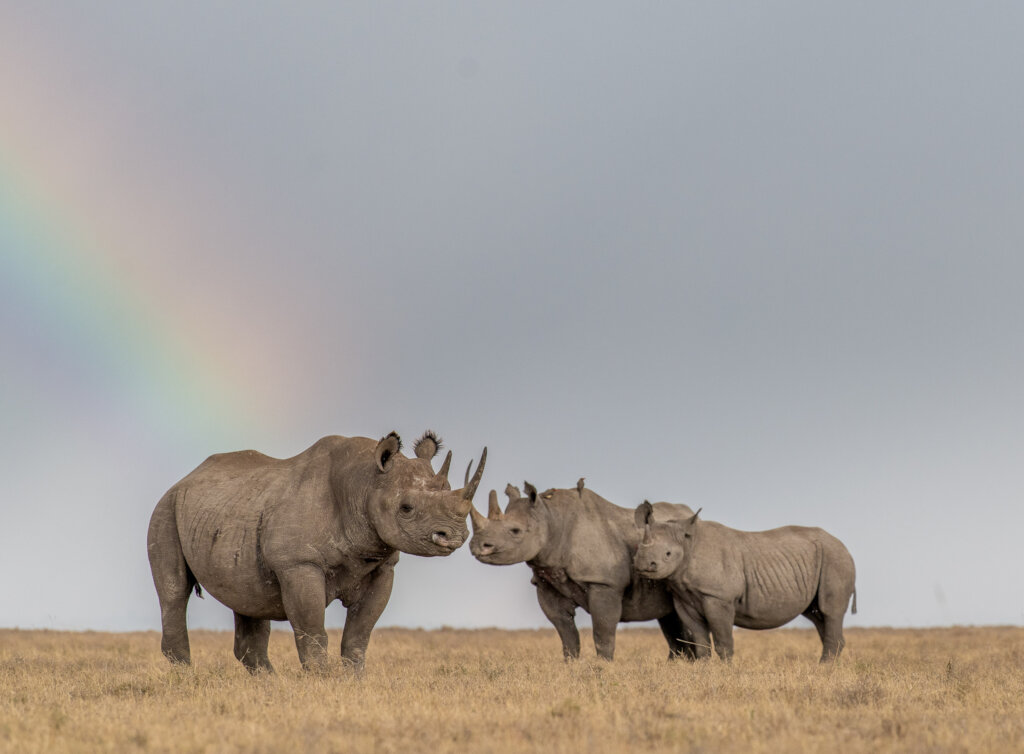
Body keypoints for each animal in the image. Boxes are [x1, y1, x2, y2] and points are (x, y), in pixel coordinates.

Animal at [148, 430, 487, 672]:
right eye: (406, 508)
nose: (454, 536)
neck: (365, 484)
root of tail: (185, 479)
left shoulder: (383, 566)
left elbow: (358, 635)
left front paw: (354, 681)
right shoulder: (298, 564)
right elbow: (312, 631)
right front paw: (321, 682)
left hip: (233, 509)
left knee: (246, 597)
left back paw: (269, 685)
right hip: (165, 509)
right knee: (174, 591)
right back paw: (186, 678)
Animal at [468, 483, 696, 659]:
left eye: (515, 531)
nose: (478, 546)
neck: (551, 519)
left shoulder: (604, 583)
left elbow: (602, 633)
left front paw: (603, 667)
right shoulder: (546, 584)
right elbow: (567, 634)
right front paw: (570, 667)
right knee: (670, 619)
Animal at [630, 504, 856, 663]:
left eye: (668, 554)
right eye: (639, 547)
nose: (643, 565)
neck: (688, 544)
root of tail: (844, 547)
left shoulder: (718, 597)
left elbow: (723, 642)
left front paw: (725, 673)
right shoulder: (683, 599)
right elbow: (701, 643)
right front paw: (703, 671)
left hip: (836, 559)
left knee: (829, 611)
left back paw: (824, 668)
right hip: (827, 559)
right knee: (818, 615)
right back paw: (826, 667)